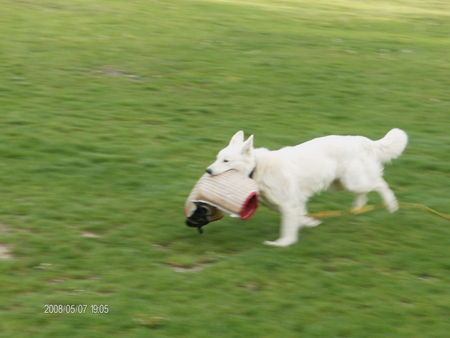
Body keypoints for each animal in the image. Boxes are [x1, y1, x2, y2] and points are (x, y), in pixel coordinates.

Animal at [207, 128, 408, 247]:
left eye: (226, 161)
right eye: (217, 158)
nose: (207, 170)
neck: (257, 168)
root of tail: (362, 140)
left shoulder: (289, 204)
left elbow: (288, 227)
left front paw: (282, 243)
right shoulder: (290, 203)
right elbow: (301, 217)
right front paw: (311, 223)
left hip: (353, 181)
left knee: (380, 184)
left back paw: (392, 206)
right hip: (341, 184)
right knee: (365, 193)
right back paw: (357, 210)